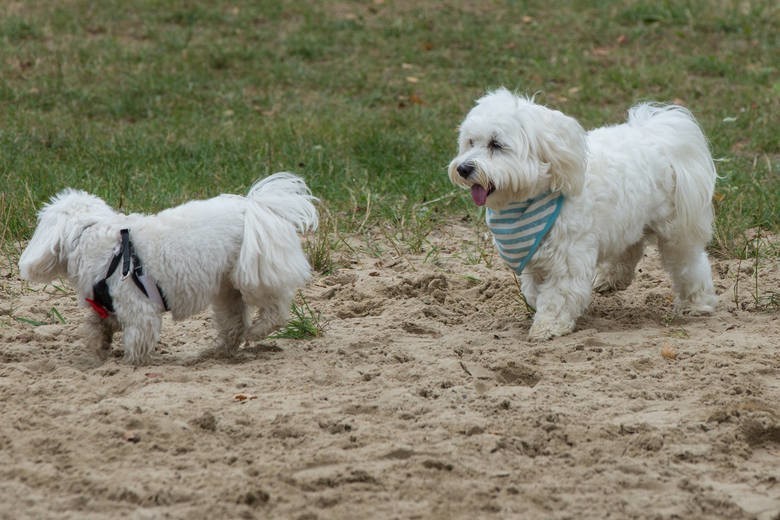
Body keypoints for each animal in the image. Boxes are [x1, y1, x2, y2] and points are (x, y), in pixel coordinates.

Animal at [19, 173, 316, 364]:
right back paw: (218, 352)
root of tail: (255, 208)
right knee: (234, 323)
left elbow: (136, 340)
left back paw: (256, 331)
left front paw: (129, 363)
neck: (94, 234)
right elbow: (98, 327)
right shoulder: (108, 306)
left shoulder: (138, 308)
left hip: (253, 271)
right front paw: (97, 351)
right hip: (227, 289)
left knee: (275, 309)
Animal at [448, 88, 716, 342]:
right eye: (470, 142)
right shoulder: (535, 260)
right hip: (628, 219)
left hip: (674, 231)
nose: (463, 168)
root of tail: (657, 135)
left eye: (496, 144)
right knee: (631, 248)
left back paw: (696, 302)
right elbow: (535, 292)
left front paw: (547, 327)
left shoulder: (567, 260)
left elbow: (557, 296)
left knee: (689, 265)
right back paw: (612, 278)